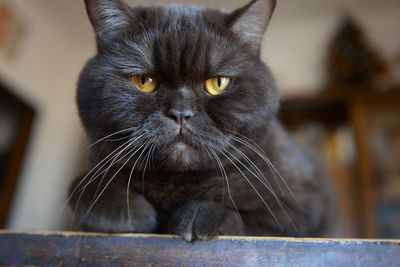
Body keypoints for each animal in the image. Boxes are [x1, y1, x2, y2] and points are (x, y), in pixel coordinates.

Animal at [69, 0, 338, 243]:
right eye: (144, 81)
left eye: (218, 83)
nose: (180, 112)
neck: (176, 186)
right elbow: (79, 187)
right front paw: (126, 212)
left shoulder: (308, 202)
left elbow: (267, 219)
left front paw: (204, 215)